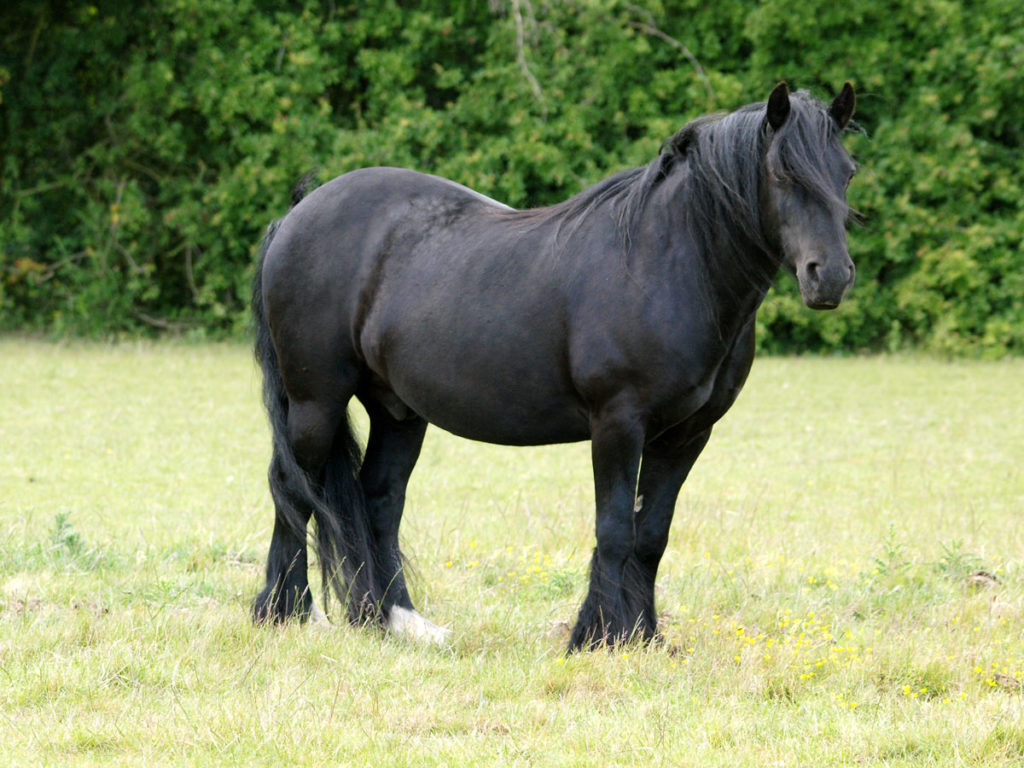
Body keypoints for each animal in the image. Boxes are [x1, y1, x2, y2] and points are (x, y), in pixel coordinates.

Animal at [250, 82, 858, 651]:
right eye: (780, 173)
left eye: (847, 173)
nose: (829, 276)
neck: (665, 263)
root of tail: (297, 212)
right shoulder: (618, 423)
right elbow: (614, 530)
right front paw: (596, 638)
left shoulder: (688, 434)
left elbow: (651, 535)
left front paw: (644, 638)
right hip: (316, 401)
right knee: (293, 487)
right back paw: (286, 612)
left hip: (398, 411)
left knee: (379, 500)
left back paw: (398, 622)